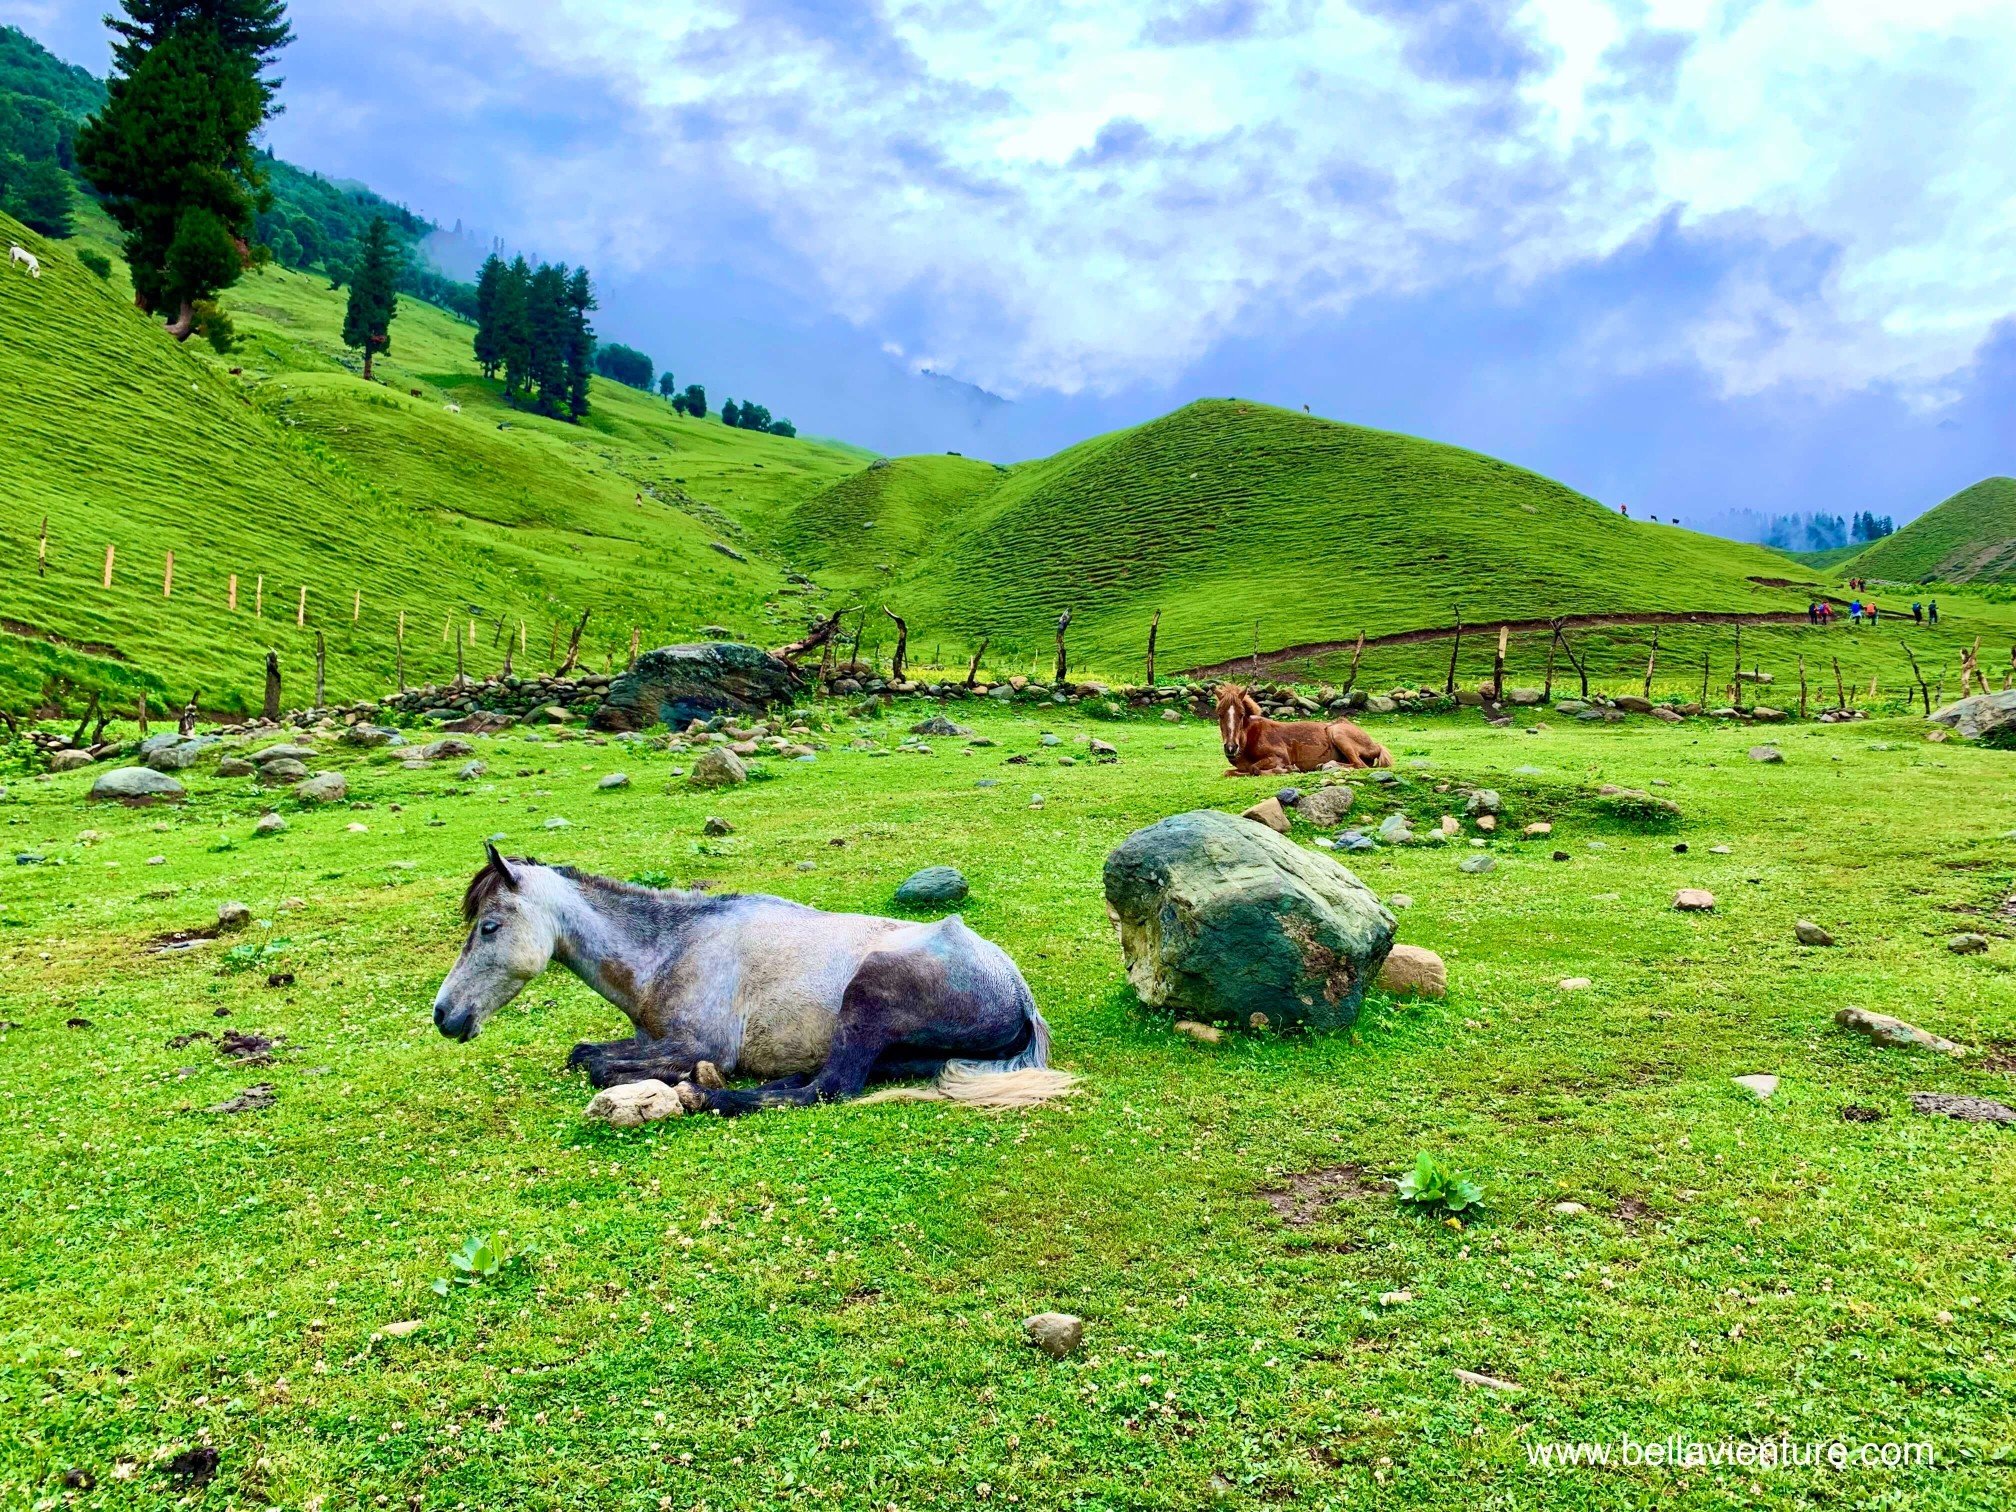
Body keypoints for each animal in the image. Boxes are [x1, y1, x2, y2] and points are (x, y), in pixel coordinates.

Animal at [432, 845, 1073, 1117]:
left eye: (489, 927)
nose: (444, 1016)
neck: (672, 950)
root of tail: (1019, 993)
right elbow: (586, 1052)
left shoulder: (701, 1044)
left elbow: (599, 1067)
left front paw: (685, 1081)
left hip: (869, 997)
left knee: (830, 1088)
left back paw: (707, 1094)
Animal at [1215, 684, 1393, 774]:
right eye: (1219, 714)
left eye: (1241, 714)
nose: (1231, 747)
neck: (1251, 737)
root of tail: (1375, 745)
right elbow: (1230, 772)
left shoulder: (1280, 757)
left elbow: (1256, 768)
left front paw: (1288, 769)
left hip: (1337, 733)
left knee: (1359, 765)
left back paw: (1326, 766)